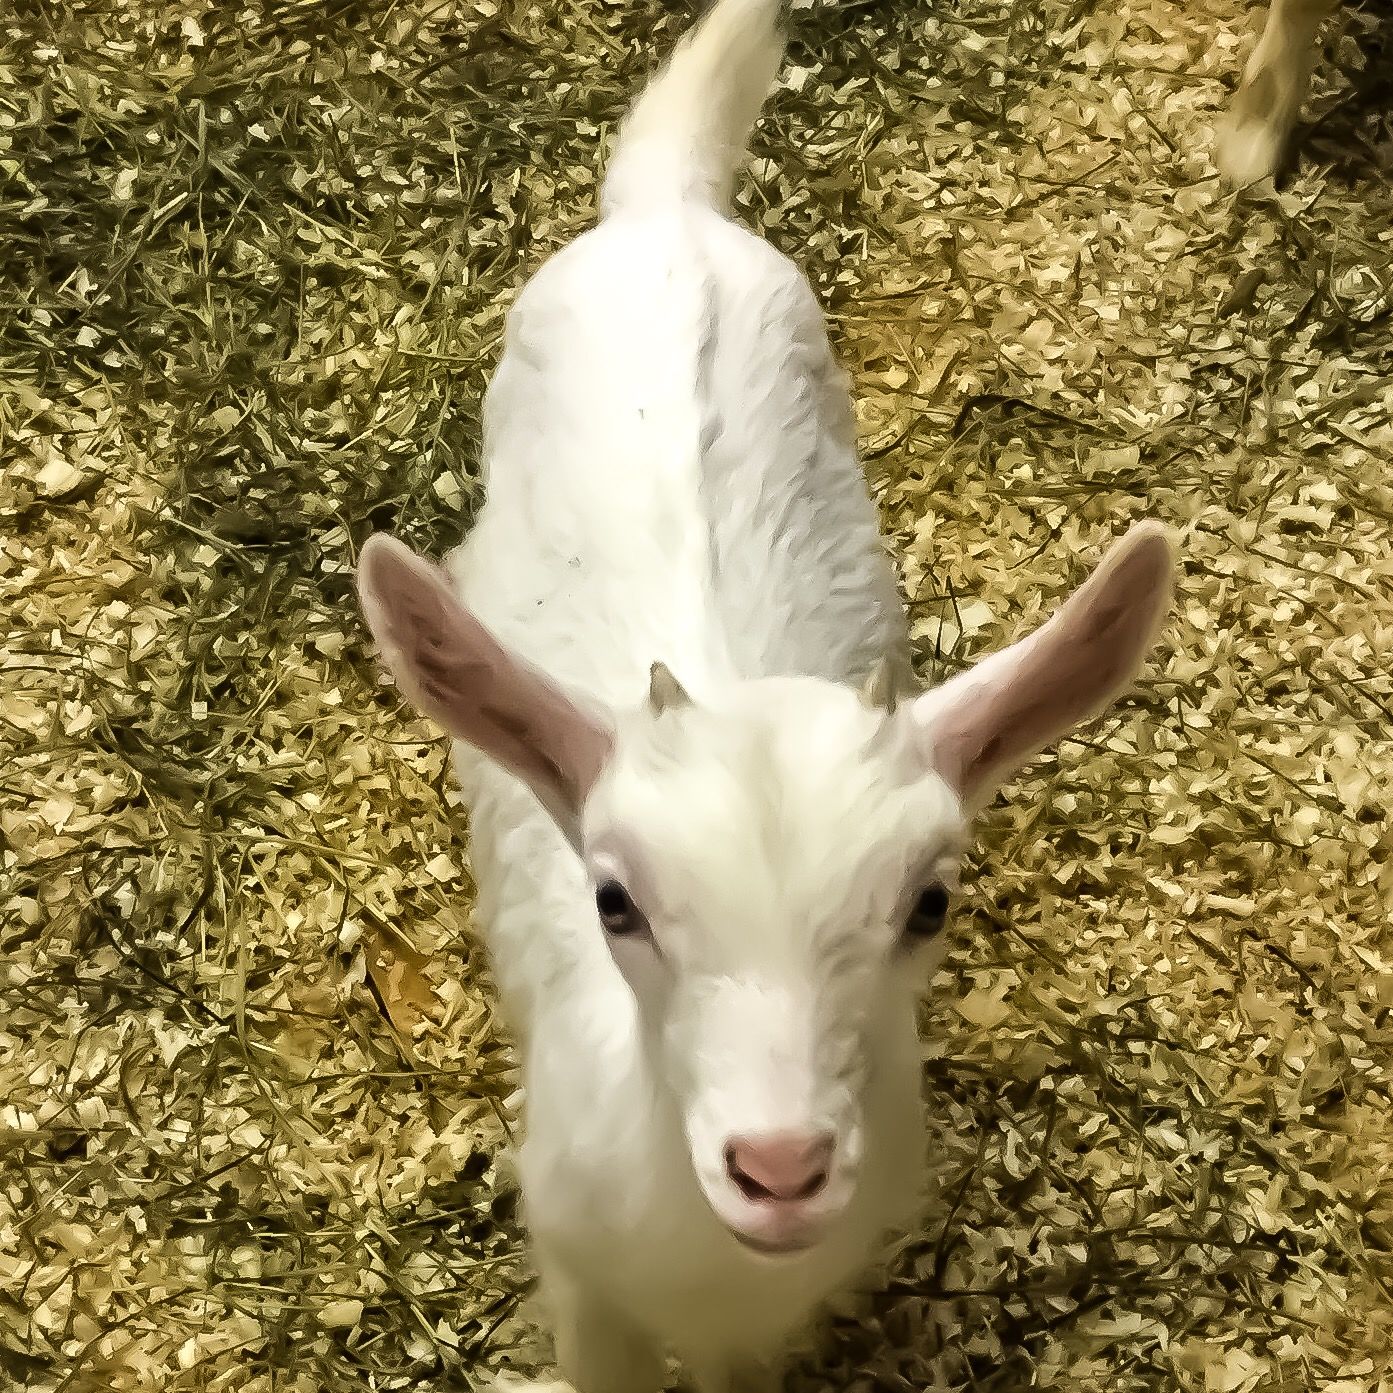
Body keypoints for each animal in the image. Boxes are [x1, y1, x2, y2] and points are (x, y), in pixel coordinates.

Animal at [354, 1, 1176, 1388]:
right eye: (615, 901)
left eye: (930, 902)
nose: (780, 1169)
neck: (709, 1275)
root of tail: (665, 212)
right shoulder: (576, 1262)